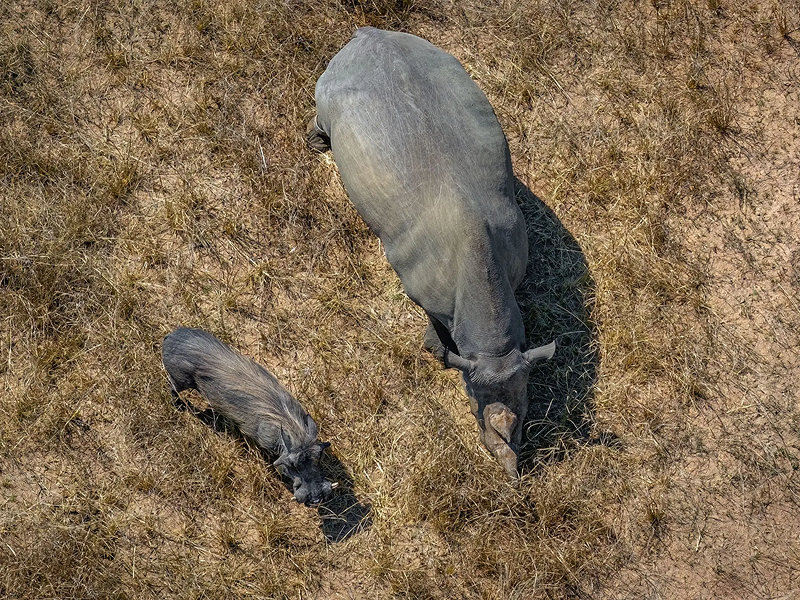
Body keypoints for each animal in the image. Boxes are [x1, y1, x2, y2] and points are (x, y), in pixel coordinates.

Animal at [162, 327, 336, 505]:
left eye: (319, 456)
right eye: (292, 465)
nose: (317, 499)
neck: (292, 427)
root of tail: (171, 335)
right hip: (180, 380)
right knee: (172, 388)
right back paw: (180, 407)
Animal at [308, 27, 555, 477]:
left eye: (529, 405)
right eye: (472, 407)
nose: (511, 469)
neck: (491, 350)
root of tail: (365, 34)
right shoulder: (421, 289)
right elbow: (434, 327)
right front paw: (433, 349)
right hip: (332, 85)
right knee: (323, 115)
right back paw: (316, 143)